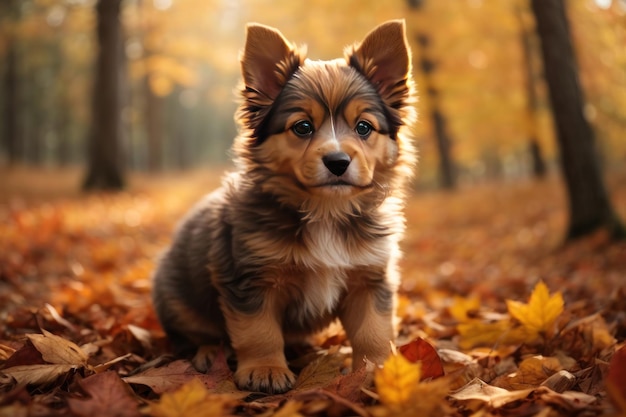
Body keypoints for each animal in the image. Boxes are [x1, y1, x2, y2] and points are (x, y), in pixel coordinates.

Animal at [151, 18, 414, 394]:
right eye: (302, 127)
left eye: (364, 127)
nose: (338, 162)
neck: (325, 212)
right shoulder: (250, 280)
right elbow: (258, 332)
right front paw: (266, 369)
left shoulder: (369, 278)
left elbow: (373, 331)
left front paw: (379, 369)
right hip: (177, 298)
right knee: (194, 336)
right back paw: (207, 354)